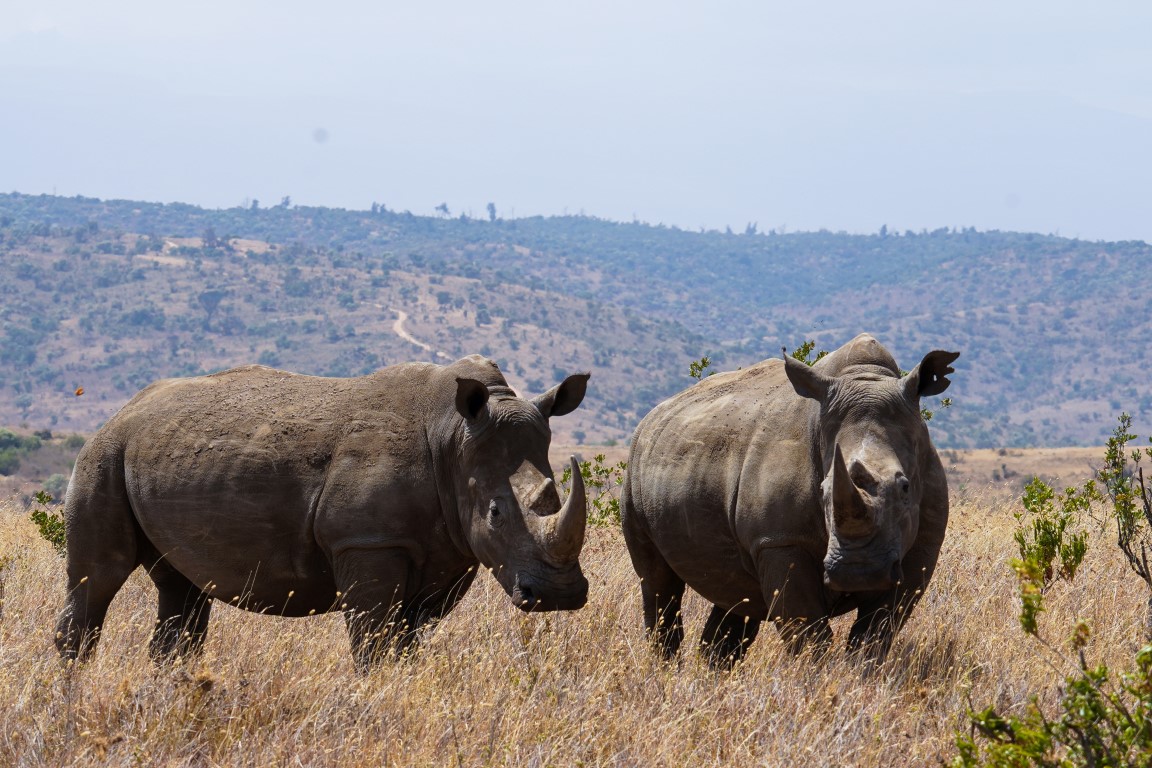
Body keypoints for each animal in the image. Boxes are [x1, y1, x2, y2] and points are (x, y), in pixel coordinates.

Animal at [57, 356, 589, 667]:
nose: (558, 596)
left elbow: (408, 645)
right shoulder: (367, 543)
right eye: (496, 513)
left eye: (554, 497)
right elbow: (374, 645)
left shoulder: (450, 554)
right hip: (104, 452)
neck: (454, 439)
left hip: (160, 455)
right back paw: (72, 690)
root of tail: (124, 409)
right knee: (97, 576)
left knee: (181, 587)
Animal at [626, 336, 958, 667]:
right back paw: (665, 668)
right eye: (822, 491)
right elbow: (808, 632)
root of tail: (654, 414)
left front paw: (859, 674)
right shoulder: (780, 540)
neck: (866, 377)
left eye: (905, 488)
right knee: (658, 585)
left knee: (735, 597)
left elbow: (876, 632)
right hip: (635, 465)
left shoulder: (921, 547)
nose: (859, 571)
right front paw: (816, 675)